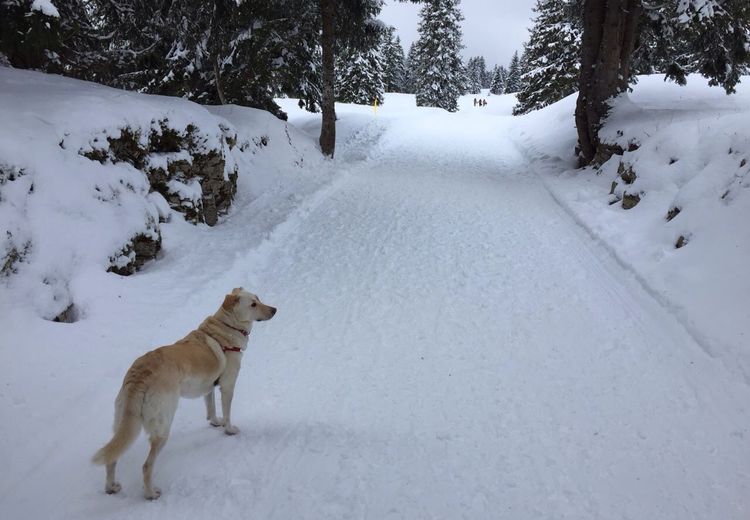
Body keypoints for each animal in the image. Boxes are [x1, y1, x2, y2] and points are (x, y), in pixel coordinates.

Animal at [92, 288, 276, 500]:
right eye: (253, 304)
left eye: (258, 299)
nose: (275, 310)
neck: (225, 327)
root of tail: (140, 376)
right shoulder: (228, 386)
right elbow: (227, 413)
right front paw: (229, 429)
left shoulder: (209, 387)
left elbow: (211, 409)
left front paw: (215, 422)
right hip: (163, 427)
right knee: (146, 466)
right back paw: (151, 493)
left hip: (122, 424)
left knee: (112, 458)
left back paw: (111, 487)